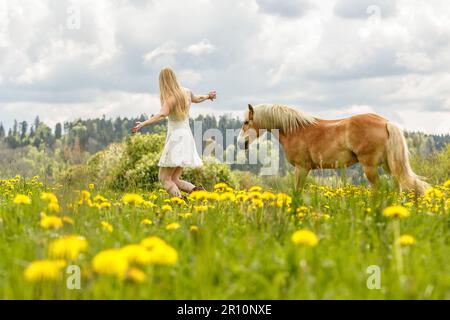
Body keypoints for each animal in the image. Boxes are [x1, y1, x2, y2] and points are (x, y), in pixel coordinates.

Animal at [237, 104, 428, 194]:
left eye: (246, 122)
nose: (240, 142)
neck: (295, 129)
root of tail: (386, 122)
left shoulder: (302, 168)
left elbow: (297, 191)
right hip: (389, 166)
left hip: (370, 167)